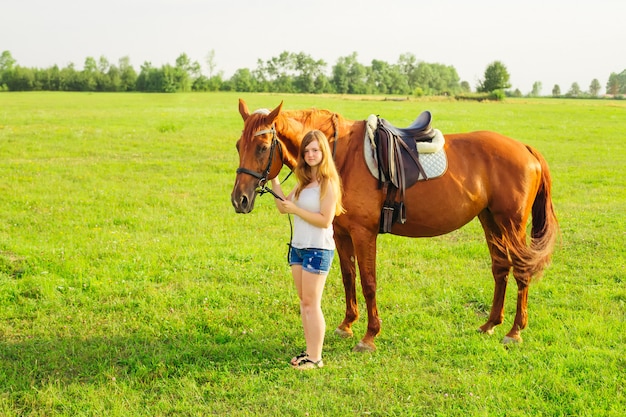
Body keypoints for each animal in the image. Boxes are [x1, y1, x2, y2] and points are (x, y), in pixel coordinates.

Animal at [229, 98, 556, 352]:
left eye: (262, 147)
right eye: (238, 145)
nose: (239, 200)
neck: (340, 155)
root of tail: (525, 148)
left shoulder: (364, 234)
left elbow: (369, 282)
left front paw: (369, 336)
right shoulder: (341, 233)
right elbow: (348, 277)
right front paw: (347, 324)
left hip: (512, 224)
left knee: (522, 270)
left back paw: (514, 332)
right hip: (491, 221)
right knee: (501, 268)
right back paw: (490, 324)